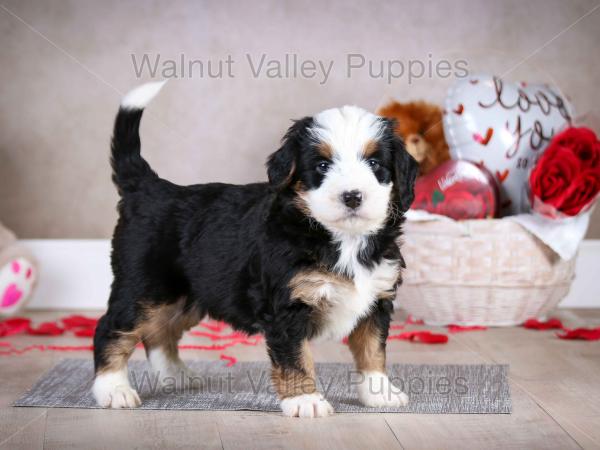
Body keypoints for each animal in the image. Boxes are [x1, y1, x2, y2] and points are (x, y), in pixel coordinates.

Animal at [92, 81, 418, 418]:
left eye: (375, 164)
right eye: (322, 165)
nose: (352, 196)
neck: (343, 239)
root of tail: (149, 188)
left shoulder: (376, 300)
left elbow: (373, 350)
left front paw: (380, 392)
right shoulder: (287, 307)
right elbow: (296, 357)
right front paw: (305, 400)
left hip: (187, 295)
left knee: (160, 331)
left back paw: (175, 375)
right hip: (143, 286)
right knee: (112, 329)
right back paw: (113, 389)